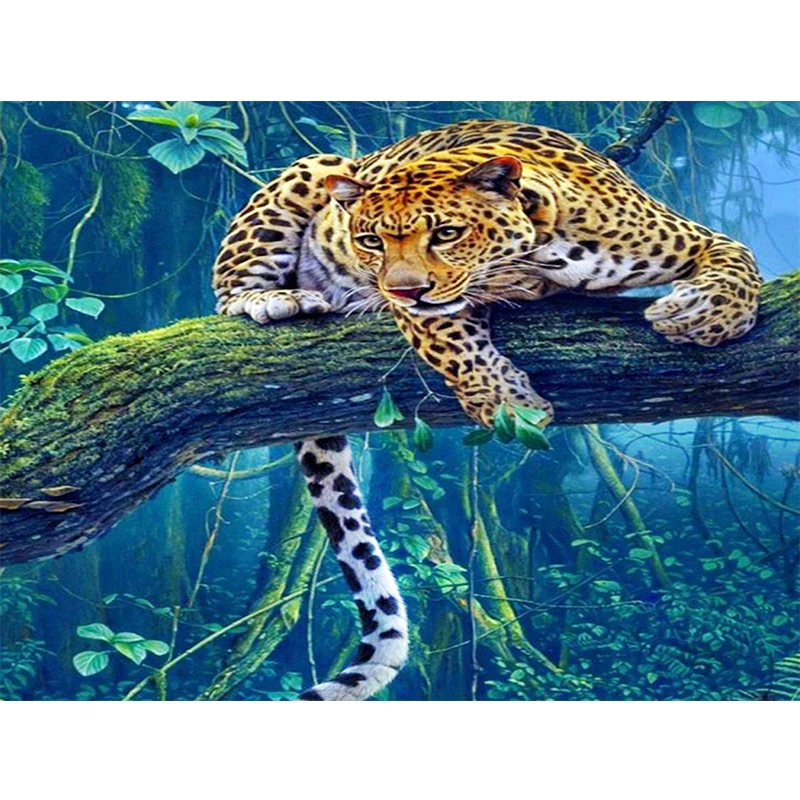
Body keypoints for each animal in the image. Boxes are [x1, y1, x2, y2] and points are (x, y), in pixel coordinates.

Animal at [212, 118, 762, 701]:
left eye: (446, 234)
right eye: (369, 240)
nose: (402, 291)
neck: (544, 249)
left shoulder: (692, 237)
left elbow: (737, 259)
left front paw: (704, 316)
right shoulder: (427, 312)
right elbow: (452, 341)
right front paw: (508, 405)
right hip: (315, 168)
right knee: (228, 294)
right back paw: (276, 300)